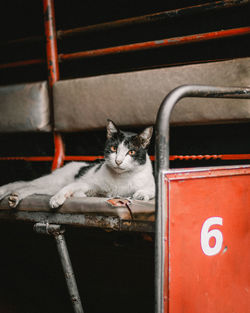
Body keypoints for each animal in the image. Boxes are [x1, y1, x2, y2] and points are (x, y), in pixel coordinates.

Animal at [0, 119, 155, 207]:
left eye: (131, 152)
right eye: (113, 149)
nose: (118, 161)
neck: (121, 178)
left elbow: (151, 190)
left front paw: (141, 194)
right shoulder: (86, 182)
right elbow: (71, 187)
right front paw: (57, 198)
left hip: (49, 186)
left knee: (29, 187)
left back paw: (14, 197)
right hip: (53, 181)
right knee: (23, 183)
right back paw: (7, 192)